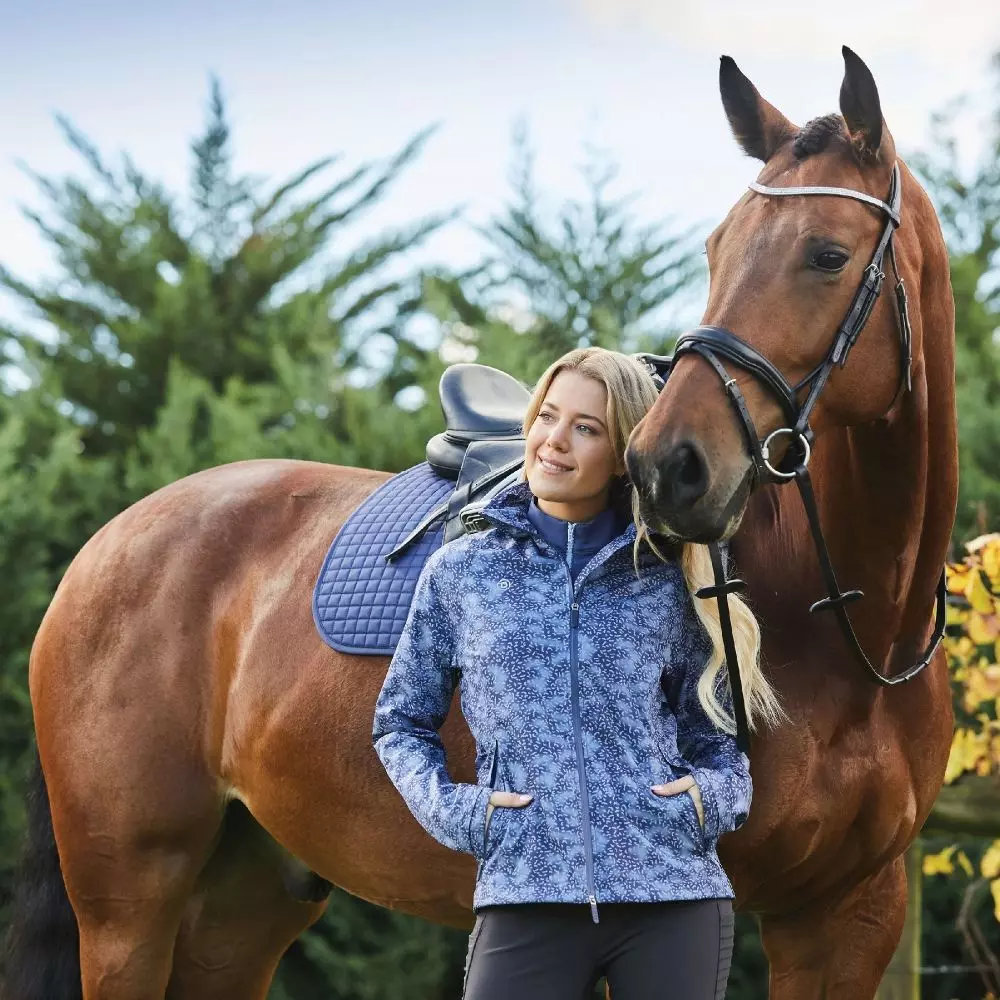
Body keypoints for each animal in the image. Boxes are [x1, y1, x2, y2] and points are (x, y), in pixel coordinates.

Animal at [1, 48, 952, 1000]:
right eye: (717, 250)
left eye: (827, 255)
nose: (666, 466)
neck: (849, 633)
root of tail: (103, 549)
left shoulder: (848, 918)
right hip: (128, 905)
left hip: (244, 900)